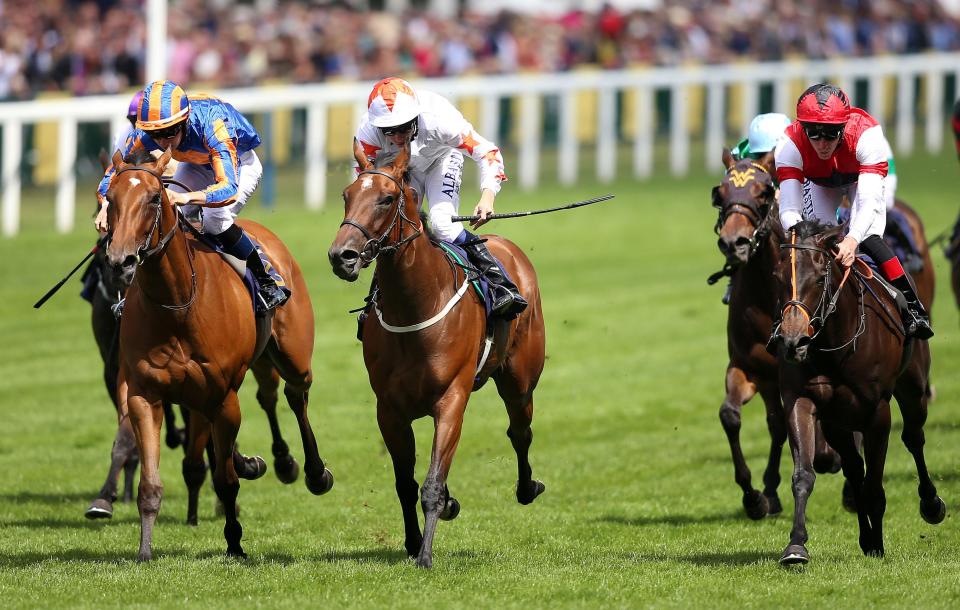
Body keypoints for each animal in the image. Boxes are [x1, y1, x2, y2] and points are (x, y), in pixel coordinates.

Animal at [104, 146, 334, 556]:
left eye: (153, 198)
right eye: (110, 199)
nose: (121, 261)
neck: (178, 303)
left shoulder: (222, 397)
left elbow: (226, 481)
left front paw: (235, 544)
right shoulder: (145, 395)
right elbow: (151, 483)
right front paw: (145, 550)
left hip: (291, 356)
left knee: (295, 395)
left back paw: (310, 471)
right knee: (266, 400)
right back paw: (267, 461)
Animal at [326, 138, 544, 564]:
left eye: (386, 198)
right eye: (346, 195)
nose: (342, 256)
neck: (416, 304)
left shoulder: (451, 401)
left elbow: (431, 484)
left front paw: (425, 555)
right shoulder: (389, 410)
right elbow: (406, 483)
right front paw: (414, 542)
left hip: (519, 380)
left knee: (520, 431)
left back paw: (528, 488)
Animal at [764, 221, 944, 564]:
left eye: (819, 277)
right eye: (778, 278)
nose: (793, 342)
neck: (836, 342)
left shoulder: (877, 412)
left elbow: (874, 485)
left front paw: (879, 543)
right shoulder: (802, 400)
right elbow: (804, 475)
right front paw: (796, 546)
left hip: (913, 388)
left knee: (914, 438)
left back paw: (930, 504)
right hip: (837, 421)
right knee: (853, 465)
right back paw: (866, 536)